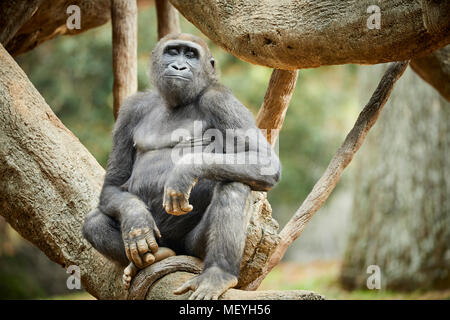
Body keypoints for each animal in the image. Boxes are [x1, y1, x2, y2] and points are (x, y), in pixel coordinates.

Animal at [82, 33, 280, 298]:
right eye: (173, 52)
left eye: (191, 55)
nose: (178, 67)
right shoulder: (131, 109)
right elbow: (114, 184)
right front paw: (136, 221)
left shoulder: (220, 99)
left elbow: (262, 159)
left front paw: (185, 172)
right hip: (165, 242)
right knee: (94, 222)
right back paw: (153, 257)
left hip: (192, 249)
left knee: (234, 186)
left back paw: (218, 273)